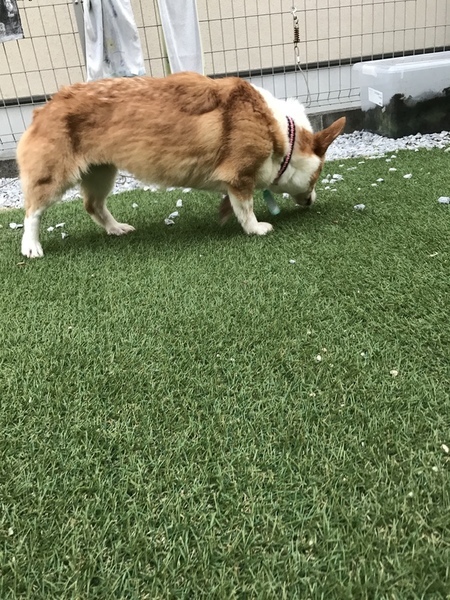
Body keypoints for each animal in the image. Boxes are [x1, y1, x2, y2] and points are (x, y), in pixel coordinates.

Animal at [17, 71, 346, 258]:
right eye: (317, 176)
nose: (312, 201)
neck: (284, 134)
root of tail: (45, 106)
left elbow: (234, 205)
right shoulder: (240, 177)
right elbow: (246, 208)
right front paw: (255, 228)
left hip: (102, 172)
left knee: (93, 205)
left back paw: (116, 228)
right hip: (55, 177)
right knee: (33, 212)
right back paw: (31, 247)